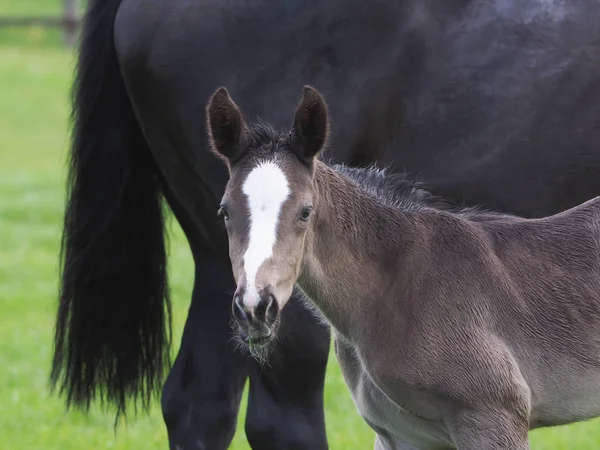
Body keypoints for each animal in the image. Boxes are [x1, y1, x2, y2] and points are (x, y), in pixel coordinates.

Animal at [204, 86, 600, 448]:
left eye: (305, 211)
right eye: (224, 212)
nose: (255, 308)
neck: (394, 285)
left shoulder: (493, 417)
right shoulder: (399, 434)